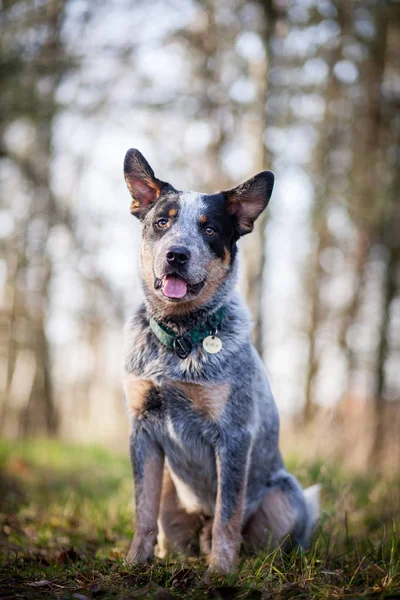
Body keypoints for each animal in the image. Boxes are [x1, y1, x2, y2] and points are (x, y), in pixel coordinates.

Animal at [122, 149, 318, 576]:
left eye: (210, 230)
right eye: (162, 222)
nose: (176, 255)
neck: (179, 338)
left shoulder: (234, 435)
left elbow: (228, 515)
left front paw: (221, 571)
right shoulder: (142, 429)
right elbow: (142, 510)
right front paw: (133, 563)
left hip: (287, 495)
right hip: (171, 493)